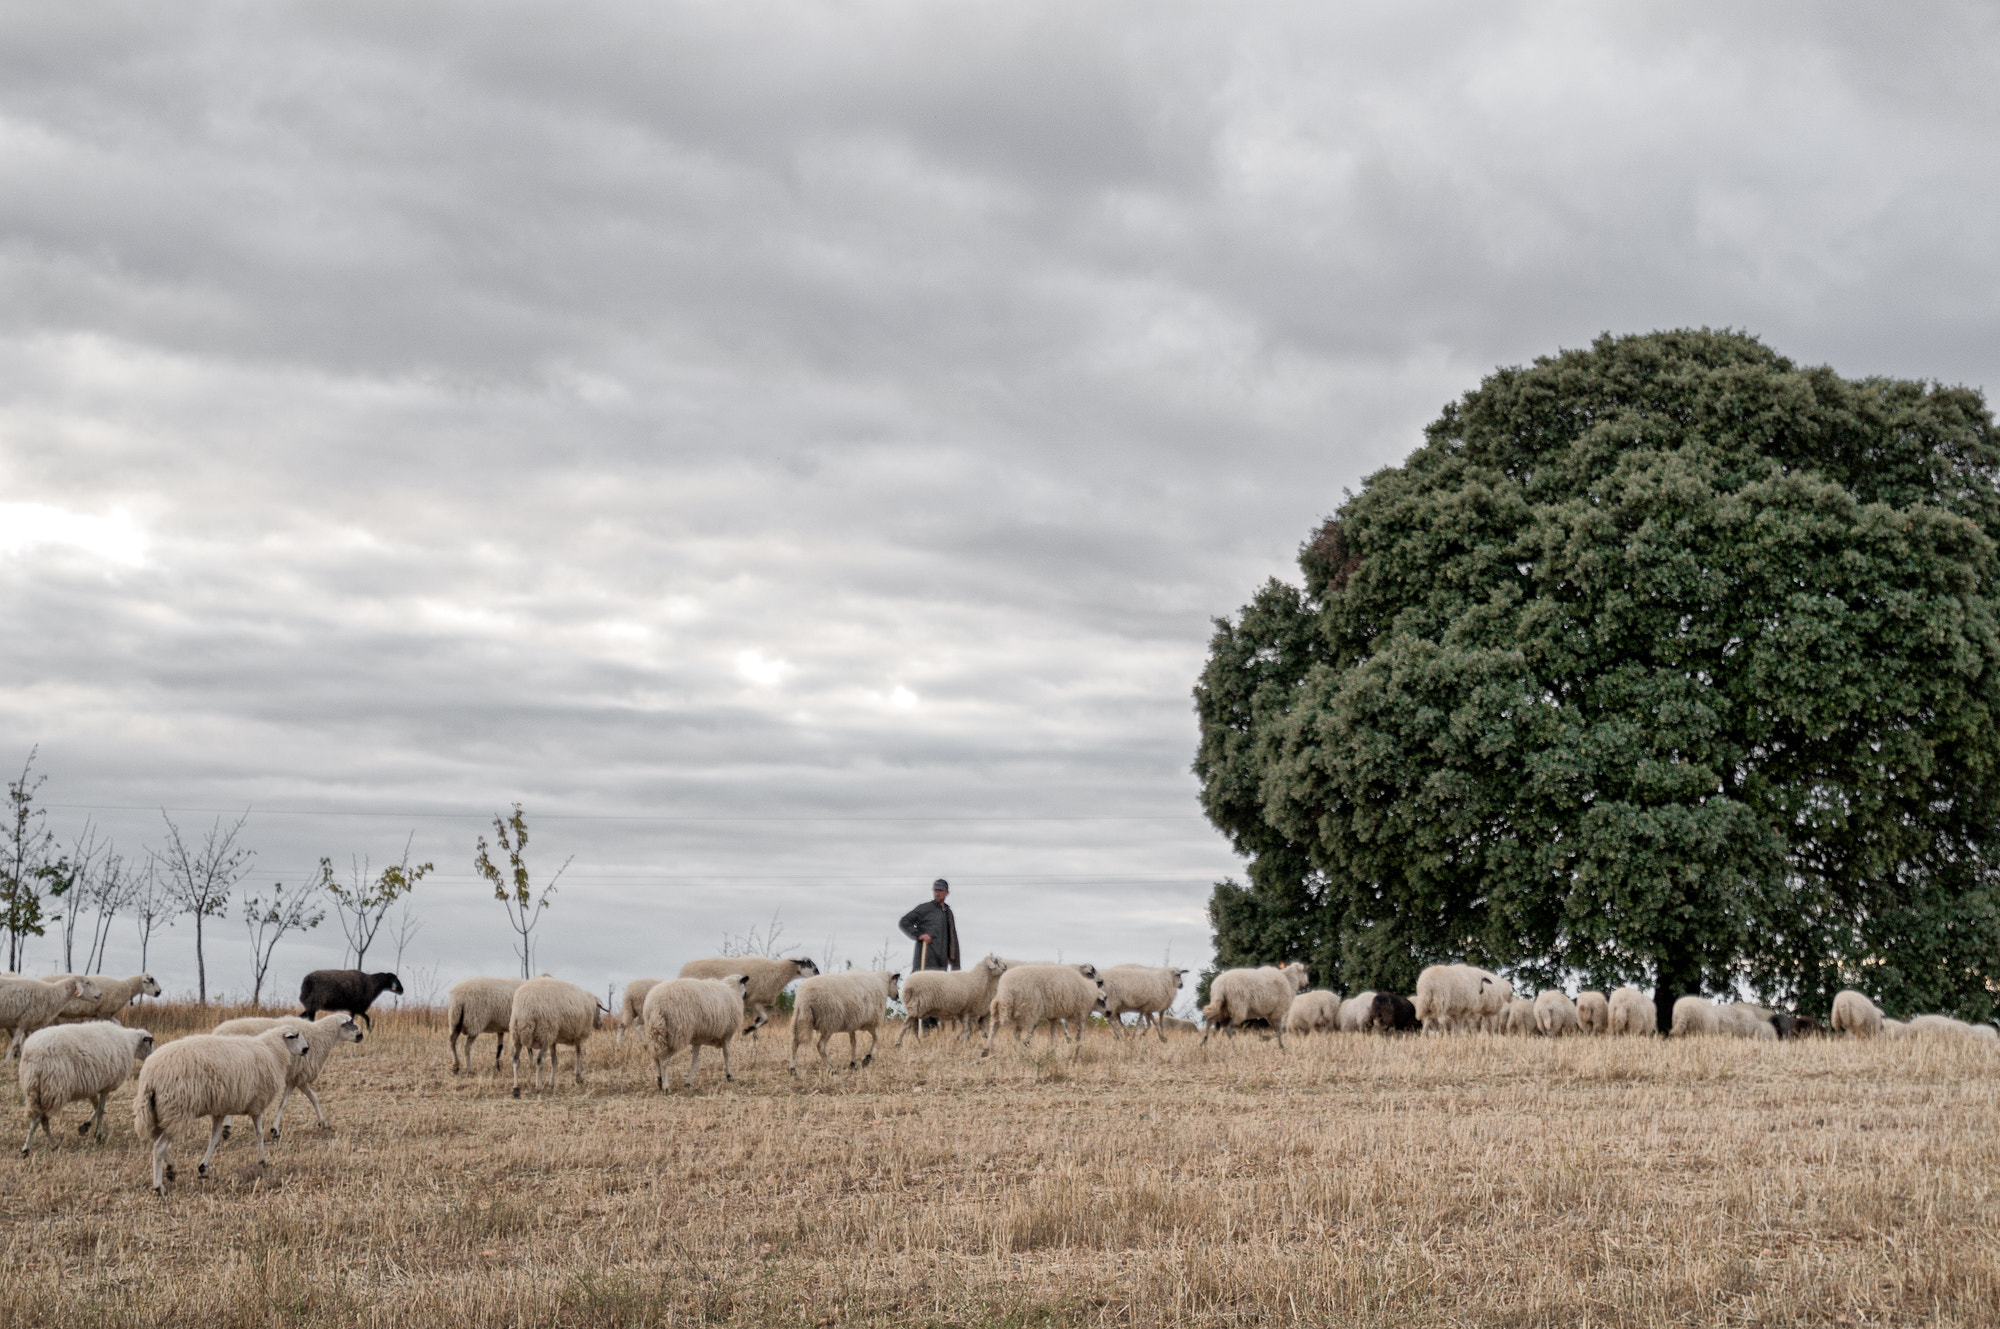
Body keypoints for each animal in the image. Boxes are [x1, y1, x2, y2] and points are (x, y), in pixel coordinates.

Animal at [19, 1016, 154, 1152]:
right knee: (39, 1118)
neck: (131, 1044)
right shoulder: (106, 1086)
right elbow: (101, 1109)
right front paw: (97, 1135)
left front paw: (85, 1127)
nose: (152, 1057)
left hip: (33, 1089)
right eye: (150, 1043)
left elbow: (97, 1107)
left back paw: (49, 1144)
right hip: (52, 1088)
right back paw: (30, 1147)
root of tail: (33, 1053)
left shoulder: (92, 1085)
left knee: (41, 1118)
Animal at [133, 1020, 306, 1200]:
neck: (273, 1051)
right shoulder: (256, 1104)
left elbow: (214, 1139)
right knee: (158, 1147)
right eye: (295, 1036)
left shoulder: (220, 1110)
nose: (306, 1049)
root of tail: (150, 1075)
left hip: (156, 1112)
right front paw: (263, 1160)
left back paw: (171, 1168)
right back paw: (159, 1186)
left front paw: (203, 1167)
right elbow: (258, 1133)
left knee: (154, 1139)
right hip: (177, 1110)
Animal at [213, 1012, 366, 1136]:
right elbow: (284, 1103)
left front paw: (323, 1122)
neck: (321, 1036)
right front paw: (274, 1129)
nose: (361, 1035)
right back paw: (227, 1126)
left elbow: (314, 1097)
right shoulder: (297, 1076)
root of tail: (216, 1032)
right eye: (351, 1022)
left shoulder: (298, 1077)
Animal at [680, 956, 820, 1040]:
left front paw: (754, 1038)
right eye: (809, 964)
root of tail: (683, 970)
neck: (779, 972)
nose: (818, 974)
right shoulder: (756, 1001)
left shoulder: (755, 1003)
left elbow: (758, 1020)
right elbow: (765, 1019)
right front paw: (747, 1031)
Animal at [976, 960, 1104, 1056]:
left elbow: (1052, 1027)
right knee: (1010, 1031)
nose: (1101, 982)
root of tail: (1005, 988)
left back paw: (986, 1049)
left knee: (994, 1025)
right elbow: (1057, 1024)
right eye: (1091, 972)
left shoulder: (1052, 1009)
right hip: (1022, 1007)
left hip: (1000, 1006)